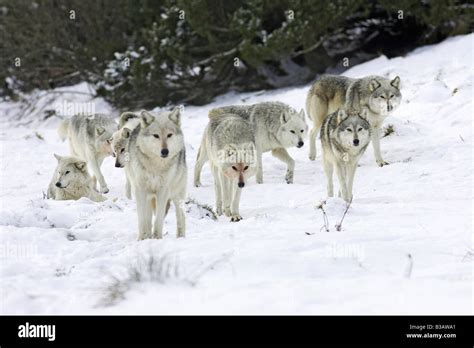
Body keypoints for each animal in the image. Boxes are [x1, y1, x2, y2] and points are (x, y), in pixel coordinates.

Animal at [127, 107, 188, 241]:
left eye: (169, 135)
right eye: (156, 136)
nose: (165, 151)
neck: (156, 166)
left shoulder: (163, 190)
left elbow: (159, 219)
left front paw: (157, 238)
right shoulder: (140, 189)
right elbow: (142, 219)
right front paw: (142, 239)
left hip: (177, 194)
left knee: (181, 216)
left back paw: (181, 237)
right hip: (150, 196)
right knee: (148, 218)